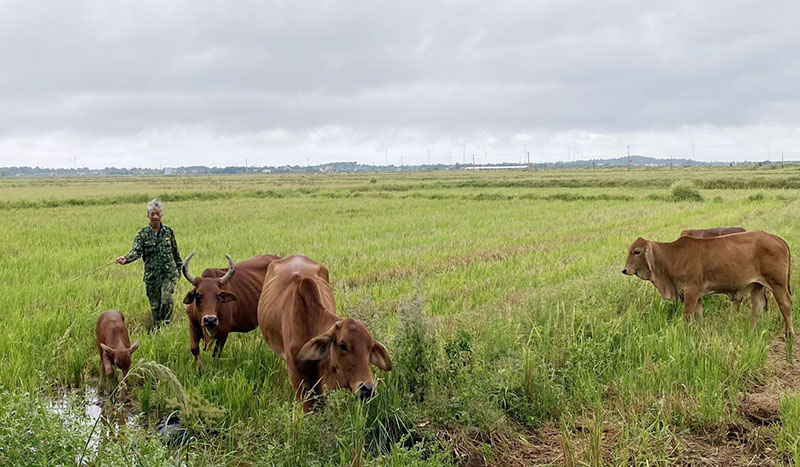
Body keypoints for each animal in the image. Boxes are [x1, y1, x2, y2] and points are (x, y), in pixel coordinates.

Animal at [620, 232, 792, 360]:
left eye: (637, 251)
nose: (624, 270)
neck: (673, 257)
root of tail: (779, 239)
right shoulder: (698, 295)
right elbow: (699, 315)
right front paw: (700, 334)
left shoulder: (690, 291)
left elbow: (688, 316)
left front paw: (687, 337)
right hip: (757, 285)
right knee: (757, 307)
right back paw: (751, 331)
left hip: (777, 284)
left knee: (786, 305)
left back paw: (789, 334)